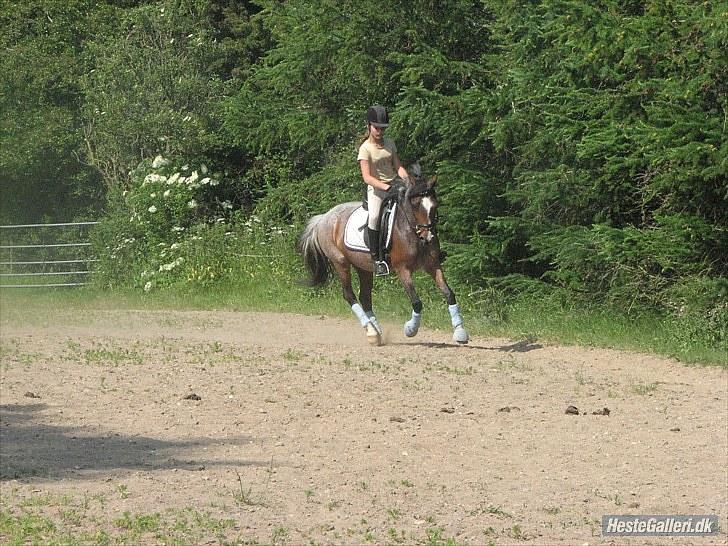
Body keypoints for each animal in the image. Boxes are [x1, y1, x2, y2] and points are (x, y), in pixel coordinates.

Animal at [298, 163, 470, 344]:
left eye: (435, 205)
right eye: (415, 205)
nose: (428, 237)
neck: (411, 231)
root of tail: (324, 217)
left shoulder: (433, 265)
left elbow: (449, 294)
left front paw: (460, 332)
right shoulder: (402, 269)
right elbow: (416, 301)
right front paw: (410, 329)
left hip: (363, 267)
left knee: (365, 297)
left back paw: (376, 332)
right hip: (340, 262)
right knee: (349, 295)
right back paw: (371, 331)